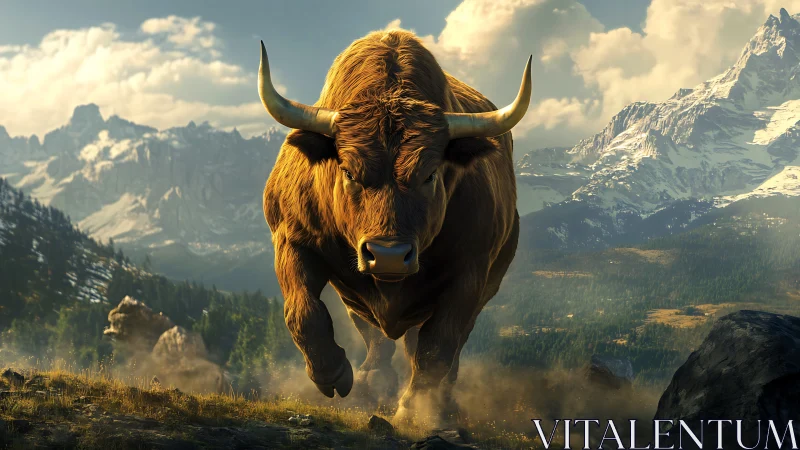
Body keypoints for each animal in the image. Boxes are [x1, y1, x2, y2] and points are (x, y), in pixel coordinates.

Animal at [258, 29, 530, 423]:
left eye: (429, 174)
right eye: (348, 171)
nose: (388, 256)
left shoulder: (470, 272)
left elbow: (439, 344)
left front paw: (415, 408)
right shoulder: (292, 241)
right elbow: (303, 311)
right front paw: (334, 375)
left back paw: (440, 402)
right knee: (376, 336)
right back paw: (371, 382)